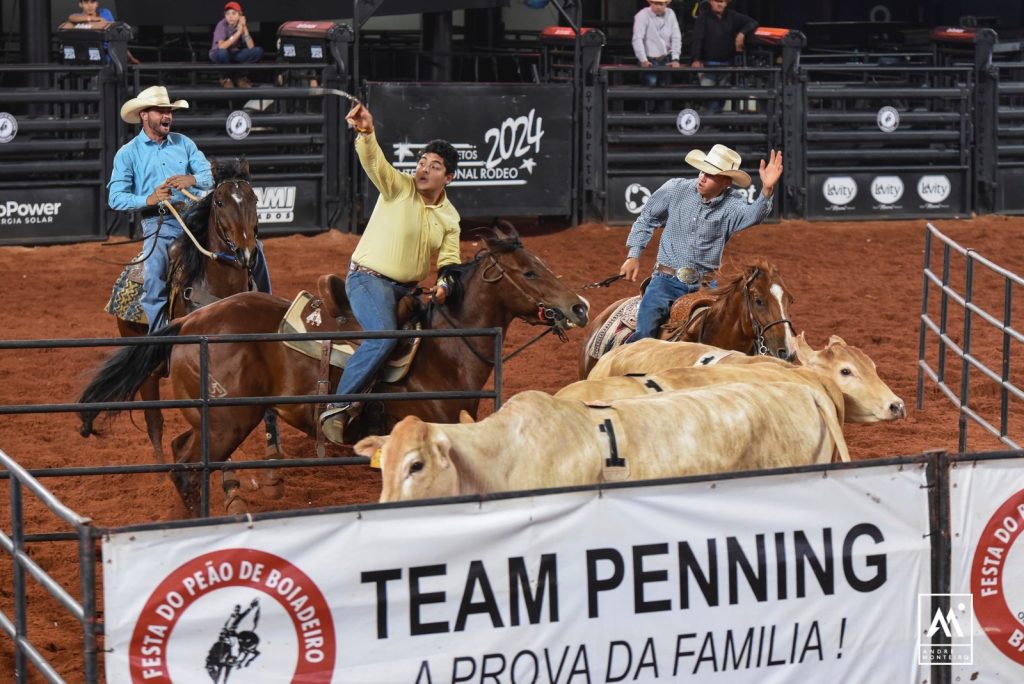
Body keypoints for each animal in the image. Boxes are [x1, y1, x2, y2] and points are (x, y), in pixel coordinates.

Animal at [77, 224, 593, 518]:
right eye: (528, 272)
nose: (579, 306)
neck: (444, 347)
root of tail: (191, 322)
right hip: (227, 419)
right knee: (188, 465)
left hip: (215, 419)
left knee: (183, 455)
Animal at [108, 157, 282, 462]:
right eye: (220, 202)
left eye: (254, 199)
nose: (247, 253)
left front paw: (272, 445)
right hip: (147, 369)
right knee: (154, 422)